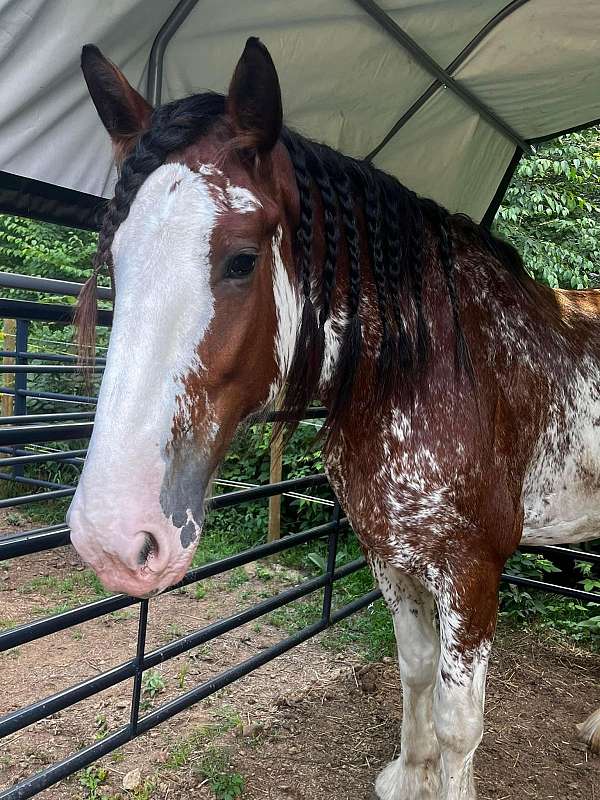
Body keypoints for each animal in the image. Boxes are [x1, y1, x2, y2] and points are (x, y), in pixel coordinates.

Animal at [68, 37, 596, 800]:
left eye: (241, 260)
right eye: (113, 259)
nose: (111, 539)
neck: (426, 369)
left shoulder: (472, 571)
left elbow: (459, 719)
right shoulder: (392, 556)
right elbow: (414, 673)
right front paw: (408, 776)